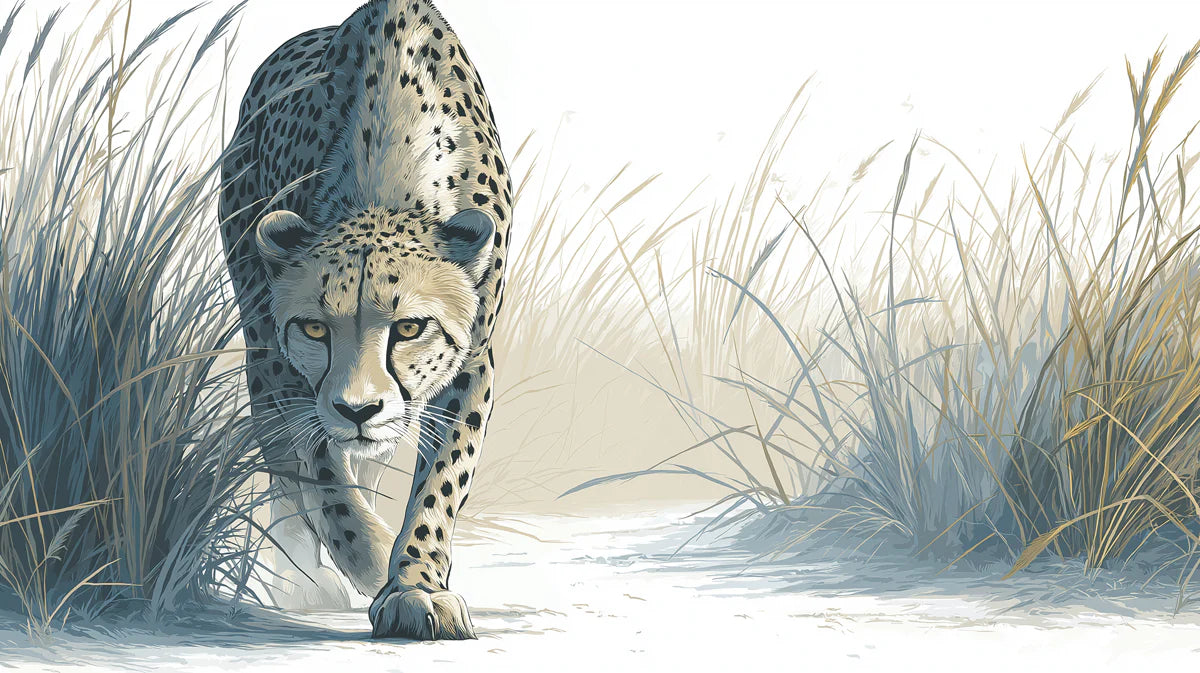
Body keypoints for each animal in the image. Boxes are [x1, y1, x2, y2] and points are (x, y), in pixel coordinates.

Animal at [219, 0, 511, 640]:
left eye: (409, 328)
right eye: (314, 329)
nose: (358, 409)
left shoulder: (471, 362)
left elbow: (439, 483)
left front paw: (414, 583)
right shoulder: (286, 367)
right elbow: (324, 479)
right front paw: (372, 561)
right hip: (257, 335)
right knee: (287, 466)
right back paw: (300, 578)